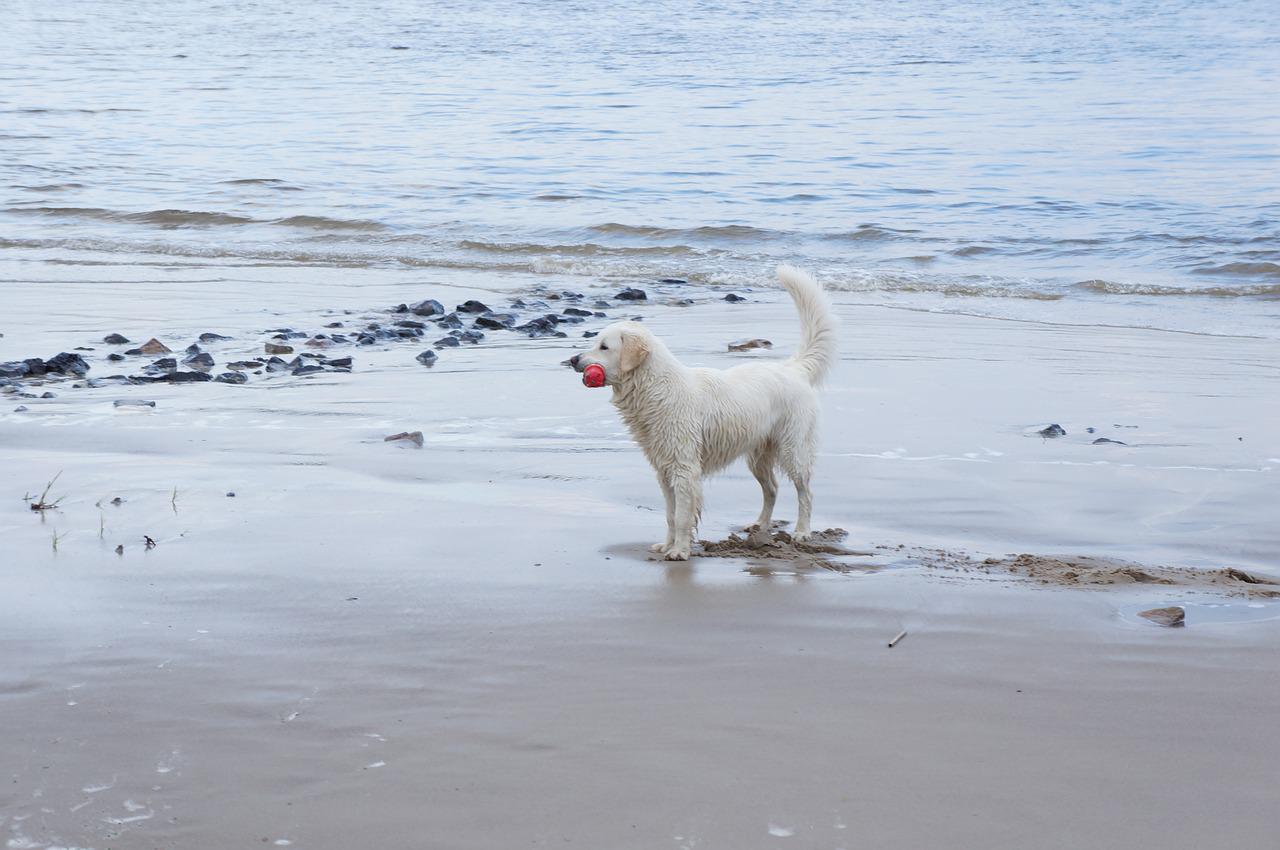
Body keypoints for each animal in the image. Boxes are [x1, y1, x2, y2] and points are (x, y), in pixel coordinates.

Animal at [573, 262, 839, 560]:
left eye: (604, 347)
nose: (572, 359)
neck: (655, 386)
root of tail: (793, 368)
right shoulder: (664, 470)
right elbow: (670, 515)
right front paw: (667, 545)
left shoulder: (684, 469)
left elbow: (681, 516)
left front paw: (679, 551)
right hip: (757, 454)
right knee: (772, 488)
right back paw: (760, 525)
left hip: (794, 448)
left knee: (805, 492)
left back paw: (802, 532)